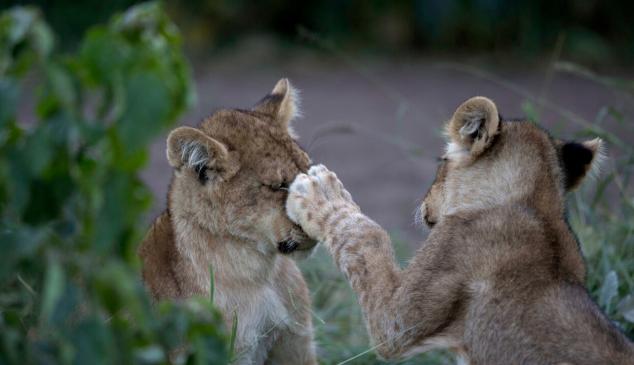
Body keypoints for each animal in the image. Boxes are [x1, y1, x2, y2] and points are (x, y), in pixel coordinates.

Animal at [286, 95, 632, 362]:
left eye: (441, 160)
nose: (423, 201)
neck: (535, 206)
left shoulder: (398, 320)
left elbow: (366, 237)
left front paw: (321, 192)